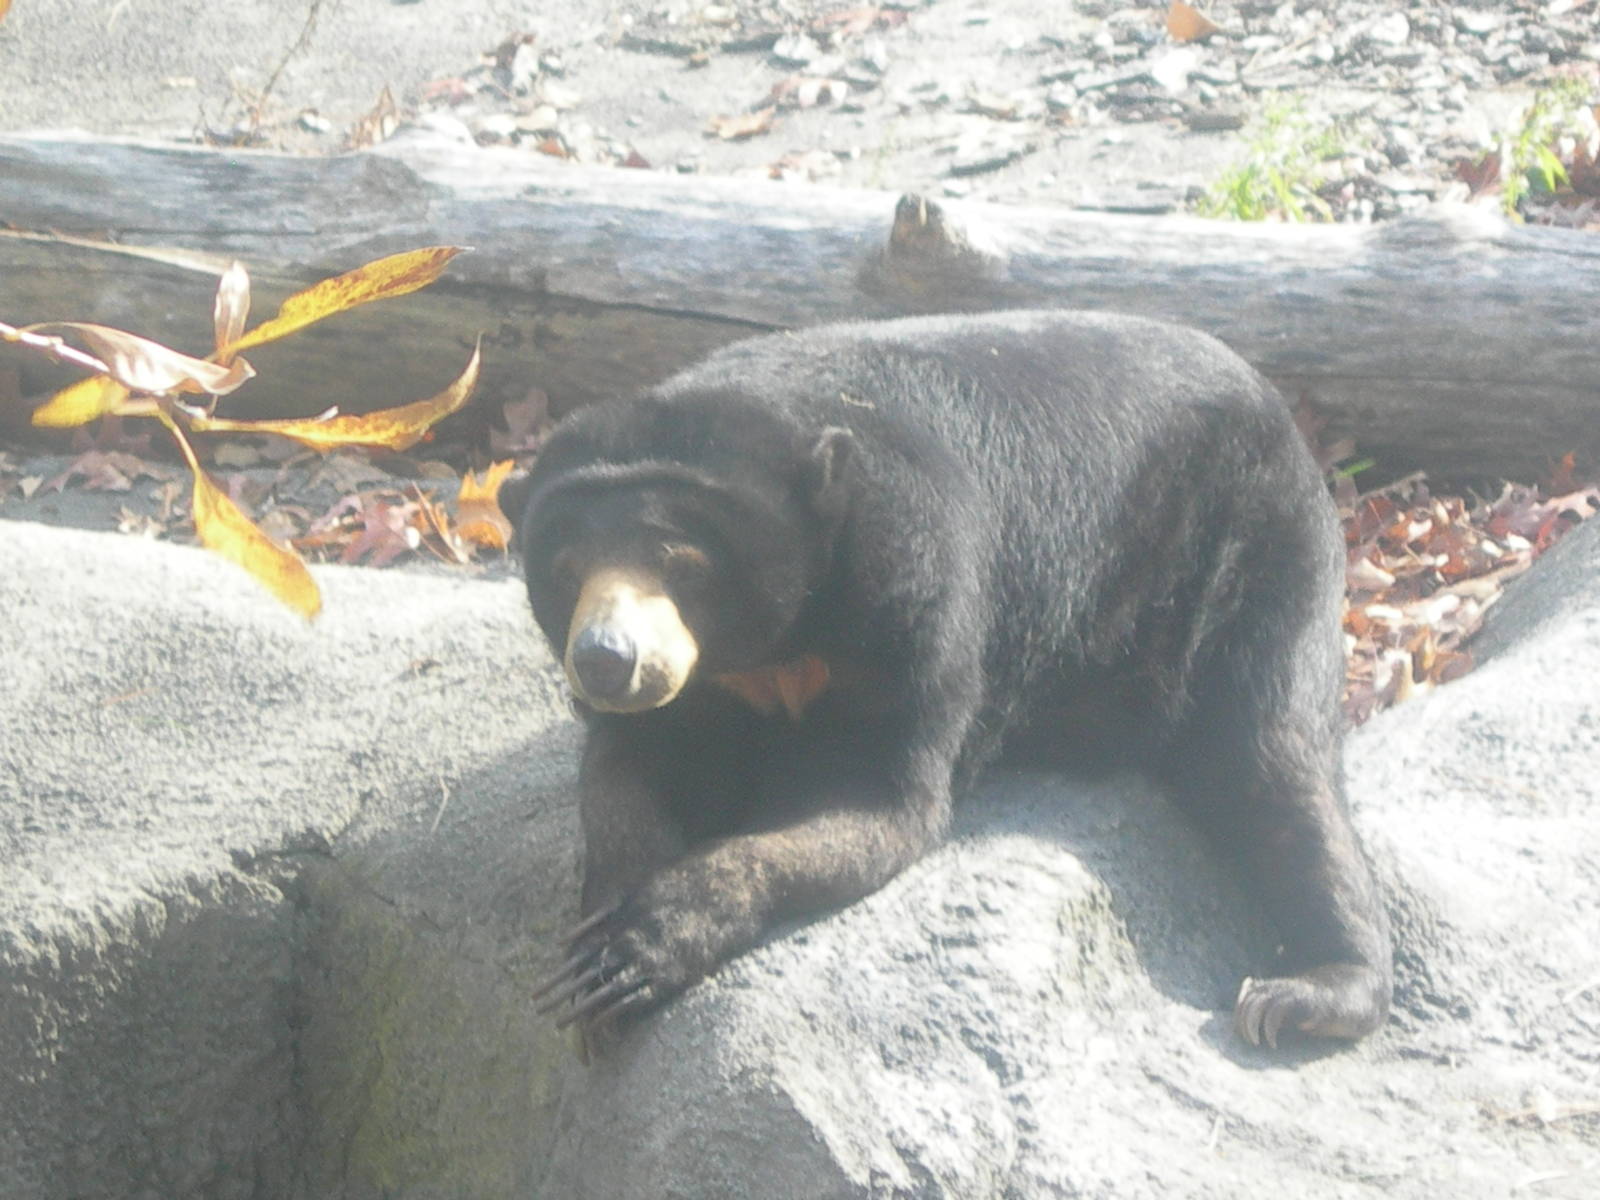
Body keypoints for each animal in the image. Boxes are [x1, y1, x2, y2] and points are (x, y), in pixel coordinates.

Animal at [513, 309, 1392, 1050]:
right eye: (565, 571)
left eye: (683, 566)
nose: (607, 659)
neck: (775, 644)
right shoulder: (703, 686)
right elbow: (628, 771)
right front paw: (595, 958)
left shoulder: (916, 597)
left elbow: (880, 802)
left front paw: (643, 944)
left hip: (1255, 551)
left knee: (1270, 760)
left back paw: (1307, 991)